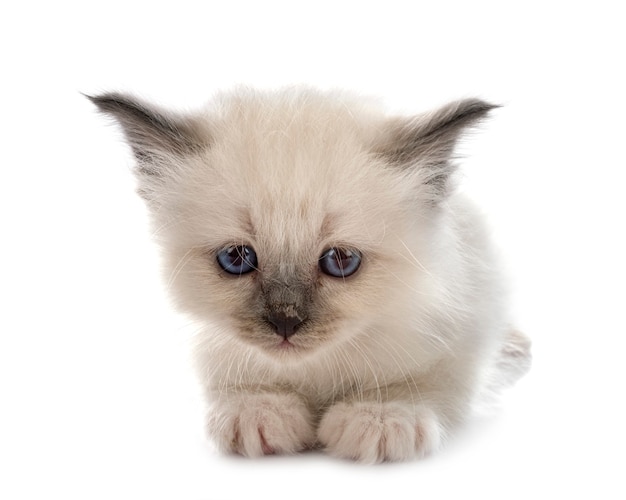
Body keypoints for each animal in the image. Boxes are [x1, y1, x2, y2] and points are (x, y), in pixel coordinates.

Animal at [86, 87, 528, 464]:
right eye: (236, 258)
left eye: (341, 260)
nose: (286, 322)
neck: (317, 373)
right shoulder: (215, 346)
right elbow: (239, 381)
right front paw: (256, 409)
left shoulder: (464, 331)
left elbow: (425, 382)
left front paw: (381, 416)